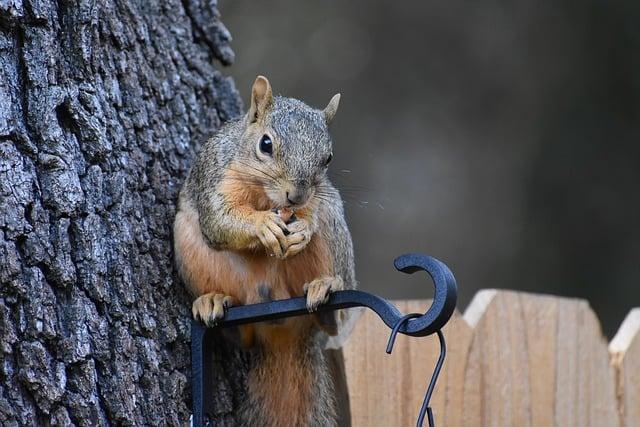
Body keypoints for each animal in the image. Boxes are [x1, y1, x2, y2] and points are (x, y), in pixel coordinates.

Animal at [172, 75, 358, 426]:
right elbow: (219, 220)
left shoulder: (317, 201)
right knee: (240, 334)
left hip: (333, 231)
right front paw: (262, 226)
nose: (296, 196)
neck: (264, 197)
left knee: (332, 322)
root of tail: (281, 326)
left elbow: (309, 216)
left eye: (327, 158)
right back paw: (212, 300)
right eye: (266, 144)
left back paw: (325, 287)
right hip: (186, 242)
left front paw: (302, 229)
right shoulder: (215, 178)